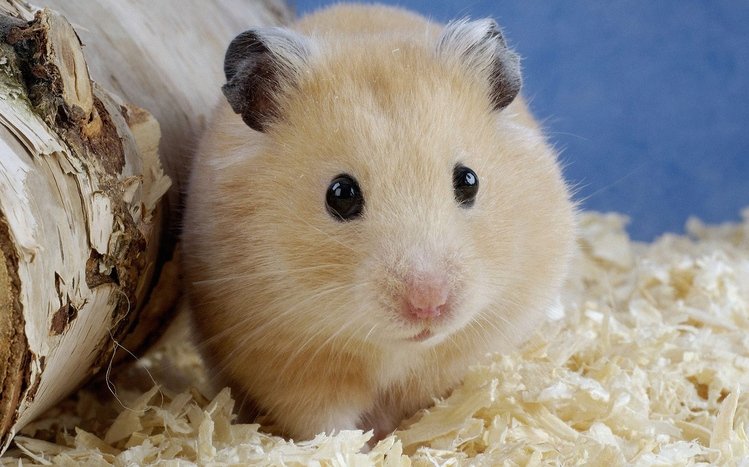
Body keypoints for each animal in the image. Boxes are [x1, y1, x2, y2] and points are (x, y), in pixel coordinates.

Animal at [182, 3, 576, 441]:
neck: (396, 348)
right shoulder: (285, 362)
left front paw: (404, 437)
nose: (429, 305)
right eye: (340, 194)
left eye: (469, 180)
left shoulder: (468, 349)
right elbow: (324, 423)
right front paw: (362, 446)